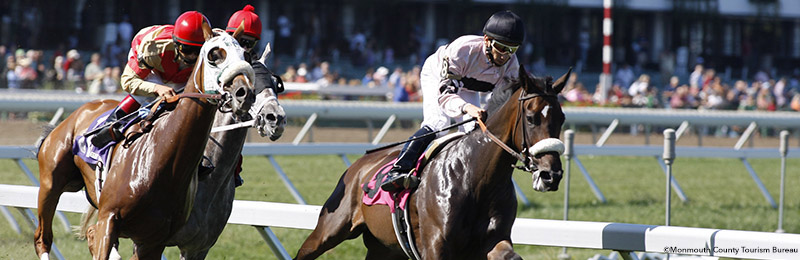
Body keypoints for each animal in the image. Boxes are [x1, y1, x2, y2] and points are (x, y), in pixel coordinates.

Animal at [36, 24, 256, 260]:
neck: (165, 159)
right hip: (51, 183)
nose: (244, 93)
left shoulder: (154, 240)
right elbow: (131, 77)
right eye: (214, 55)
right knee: (43, 238)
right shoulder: (109, 218)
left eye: (246, 56)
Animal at [294, 66, 568, 258]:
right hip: (330, 229)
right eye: (531, 117)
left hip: (384, 247)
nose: (551, 175)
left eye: (562, 118)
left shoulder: (494, 240)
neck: (476, 178)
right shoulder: (435, 245)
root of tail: (359, 165)